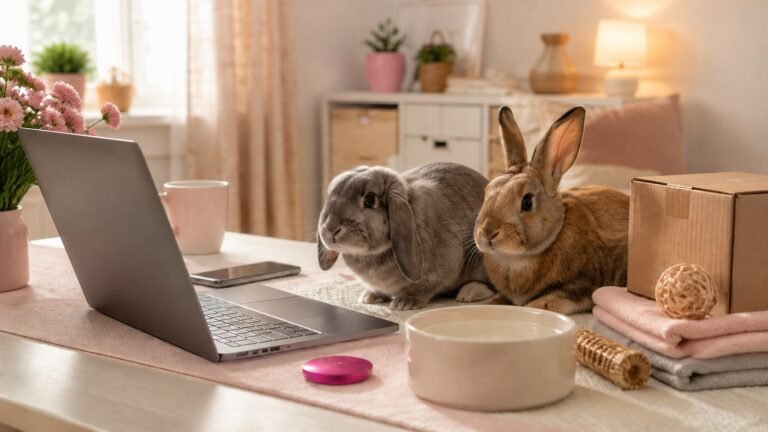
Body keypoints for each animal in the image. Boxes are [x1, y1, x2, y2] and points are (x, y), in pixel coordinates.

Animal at [317, 162, 495, 311]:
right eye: (330, 195)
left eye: (369, 200)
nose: (330, 229)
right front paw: (370, 297)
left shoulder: (437, 274)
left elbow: (423, 289)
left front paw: (405, 303)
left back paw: (469, 293)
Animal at [473, 106, 629, 315]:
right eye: (485, 194)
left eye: (527, 202)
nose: (488, 233)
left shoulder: (579, 284)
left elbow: (550, 300)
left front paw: (532, 308)